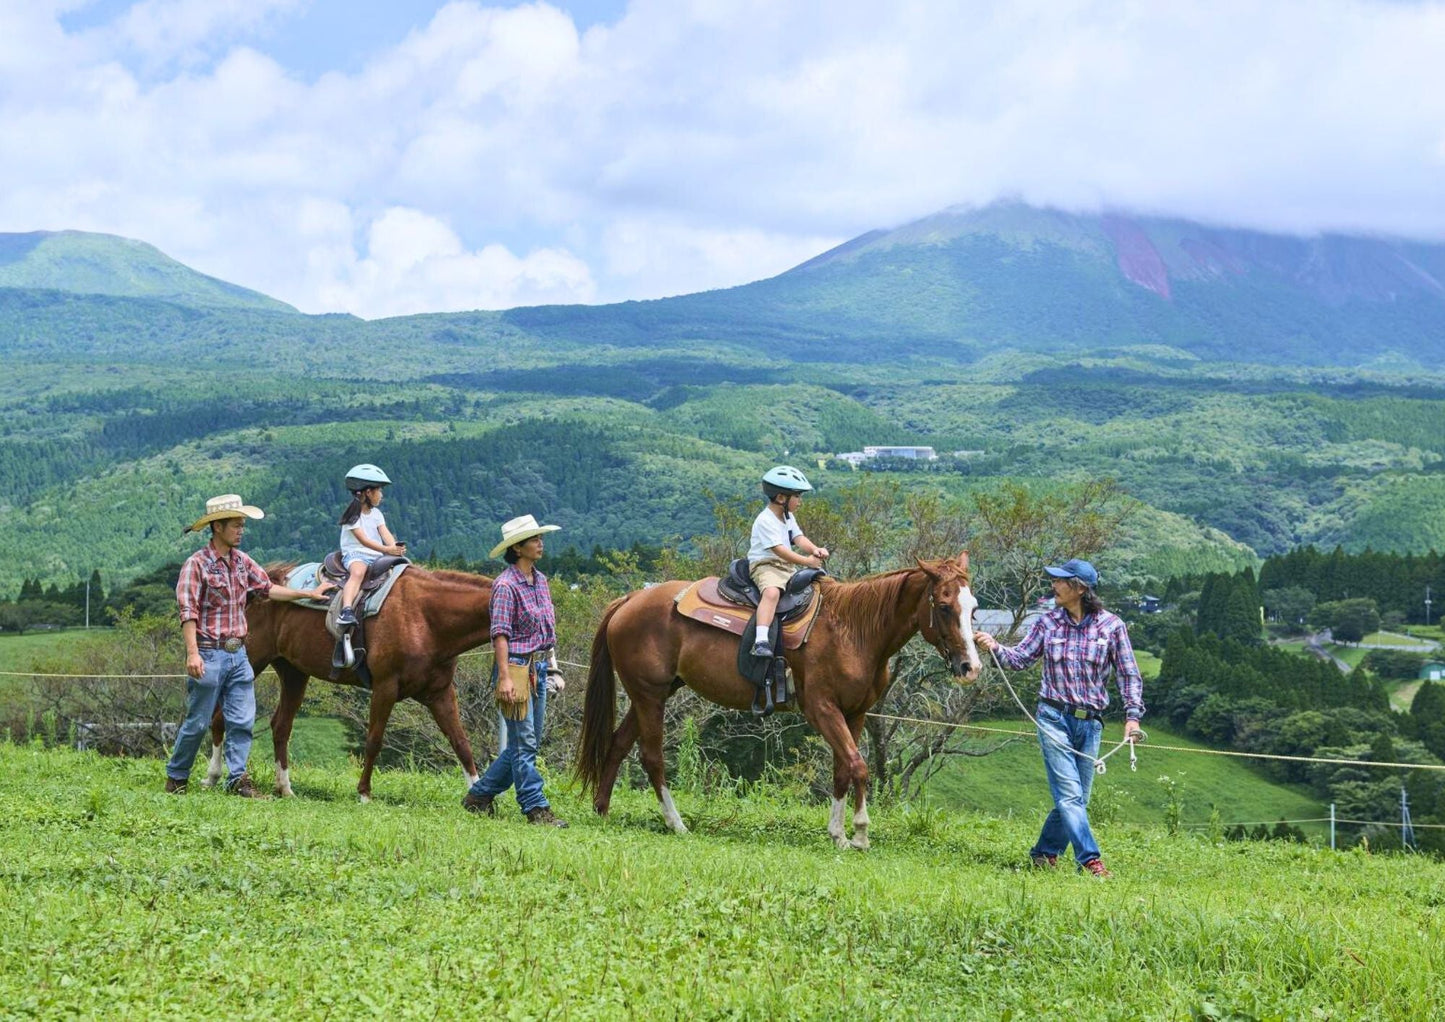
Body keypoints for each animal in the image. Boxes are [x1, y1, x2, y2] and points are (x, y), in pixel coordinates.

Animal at [200, 563, 497, 803]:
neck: (425, 618)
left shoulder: (440, 694)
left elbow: (461, 743)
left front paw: (478, 795)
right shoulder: (385, 688)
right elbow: (374, 740)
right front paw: (364, 793)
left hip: (294, 674)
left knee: (281, 727)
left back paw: (284, 788)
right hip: (251, 660)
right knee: (219, 718)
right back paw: (214, 776)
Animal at [575, 552, 982, 849]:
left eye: (974, 608)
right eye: (944, 606)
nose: (970, 666)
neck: (853, 629)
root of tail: (631, 599)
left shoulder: (854, 713)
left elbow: (843, 770)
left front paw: (837, 834)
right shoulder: (822, 710)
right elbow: (858, 766)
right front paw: (861, 833)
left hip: (653, 694)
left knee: (618, 744)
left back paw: (601, 809)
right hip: (649, 695)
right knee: (652, 757)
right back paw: (676, 823)